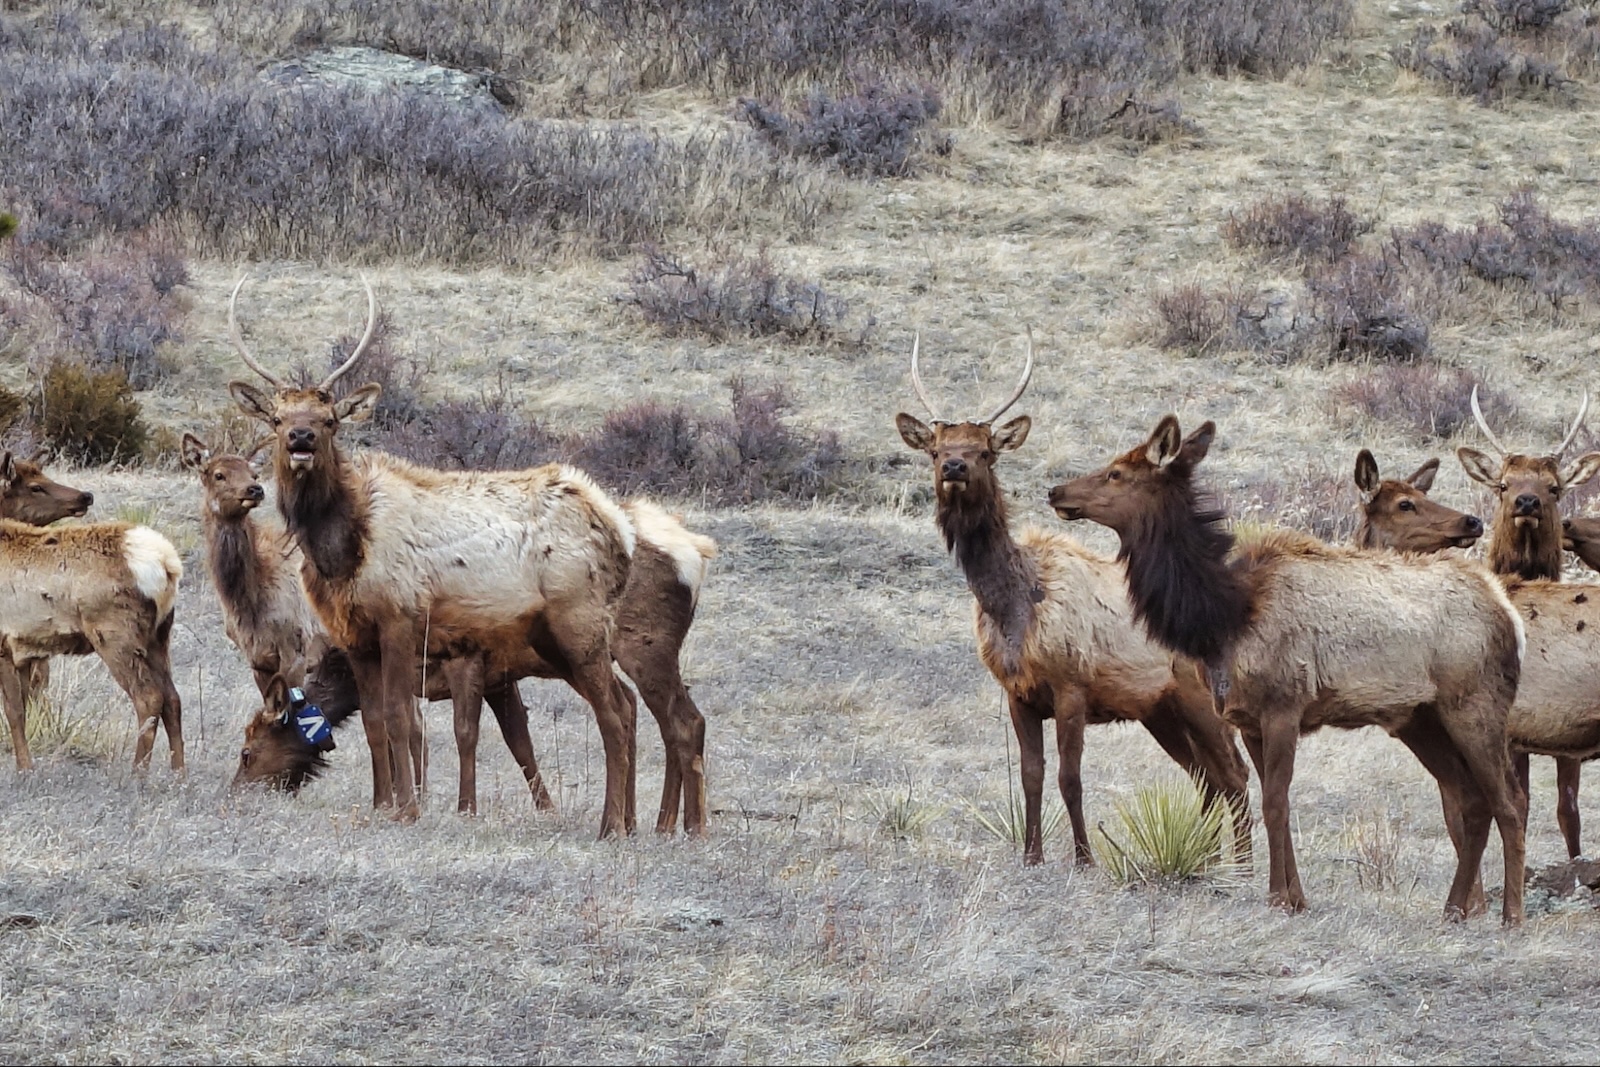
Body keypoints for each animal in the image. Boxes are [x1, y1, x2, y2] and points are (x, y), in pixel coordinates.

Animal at [0, 518, 184, 772]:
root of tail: (168, 563)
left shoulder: (5, 648)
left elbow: (14, 712)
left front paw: (24, 770)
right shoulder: (24, 654)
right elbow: (24, 709)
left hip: (116, 639)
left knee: (149, 697)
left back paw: (137, 773)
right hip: (158, 639)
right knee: (172, 700)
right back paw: (179, 775)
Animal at [225, 274, 639, 832]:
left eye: (330, 418)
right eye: (275, 417)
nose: (301, 438)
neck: (342, 553)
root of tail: (619, 528)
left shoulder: (403, 619)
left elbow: (405, 719)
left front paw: (409, 807)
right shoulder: (355, 637)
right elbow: (376, 723)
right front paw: (381, 805)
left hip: (580, 625)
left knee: (614, 714)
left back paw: (611, 825)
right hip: (558, 642)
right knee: (625, 704)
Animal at [232, 498, 717, 833]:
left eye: (247, 751)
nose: (235, 792)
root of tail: (695, 552)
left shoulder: (467, 659)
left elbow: (460, 734)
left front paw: (462, 807)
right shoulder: (499, 679)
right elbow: (516, 744)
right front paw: (544, 808)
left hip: (641, 646)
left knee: (682, 720)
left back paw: (686, 827)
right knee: (646, 713)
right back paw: (650, 823)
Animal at [894, 333, 1252, 868]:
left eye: (986, 451)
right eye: (935, 450)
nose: (955, 466)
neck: (1013, 608)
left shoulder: (1072, 686)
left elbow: (1070, 777)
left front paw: (1084, 857)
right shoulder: (1017, 693)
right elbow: (1031, 775)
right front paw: (1031, 855)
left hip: (1198, 696)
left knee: (1234, 773)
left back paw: (1241, 866)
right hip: (1159, 709)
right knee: (1206, 777)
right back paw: (1209, 859)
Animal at [1050, 416, 1528, 924]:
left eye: (1116, 473)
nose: (1056, 491)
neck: (1221, 617)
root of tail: (1507, 613)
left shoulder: (1283, 706)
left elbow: (1275, 802)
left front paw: (1279, 897)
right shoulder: (1248, 720)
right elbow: (1269, 799)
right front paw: (1295, 895)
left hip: (1475, 706)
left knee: (1509, 801)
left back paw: (1511, 915)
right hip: (1421, 719)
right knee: (1471, 800)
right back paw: (1454, 907)